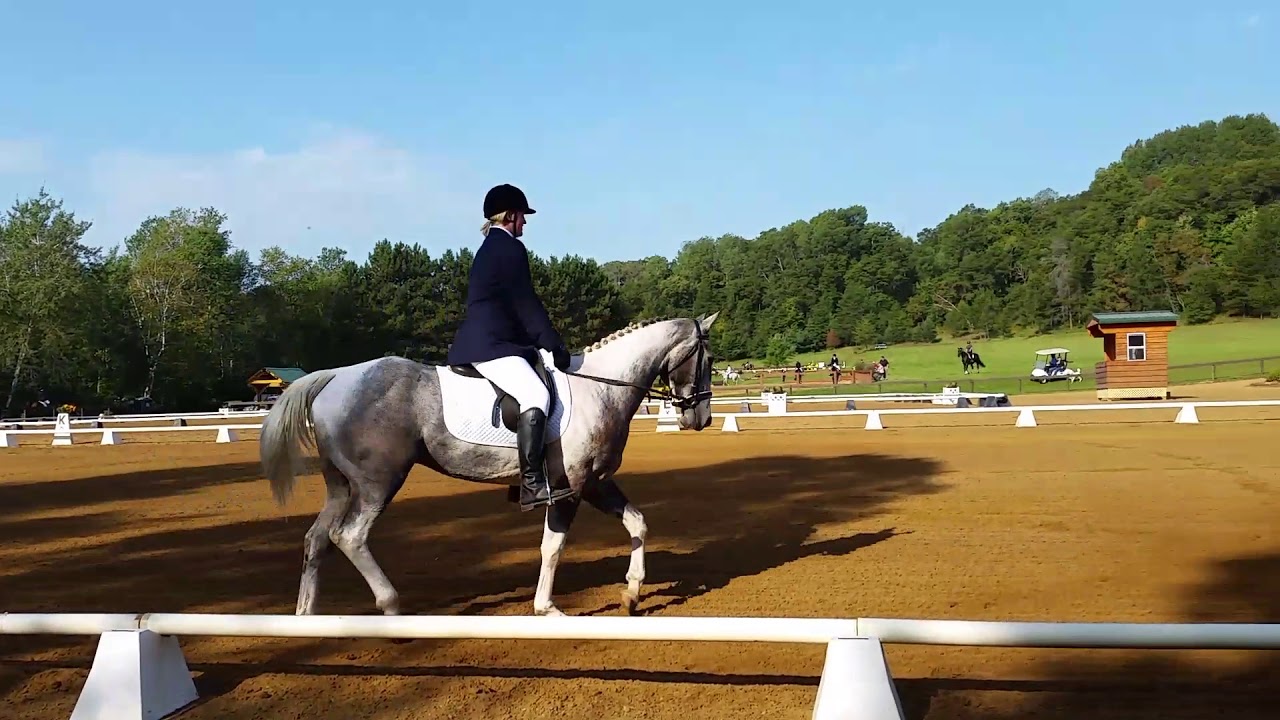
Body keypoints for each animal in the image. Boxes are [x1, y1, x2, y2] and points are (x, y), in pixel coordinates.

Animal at [258, 313, 719, 618]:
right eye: (709, 359)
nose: (701, 419)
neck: (601, 389)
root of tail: (335, 376)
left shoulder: (594, 483)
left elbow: (637, 522)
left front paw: (633, 592)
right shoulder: (567, 487)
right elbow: (553, 546)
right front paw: (546, 607)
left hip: (341, 486)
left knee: (317, 539)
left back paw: (306, 617)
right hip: (377, 483)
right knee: (350, 536)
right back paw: (391, 607)